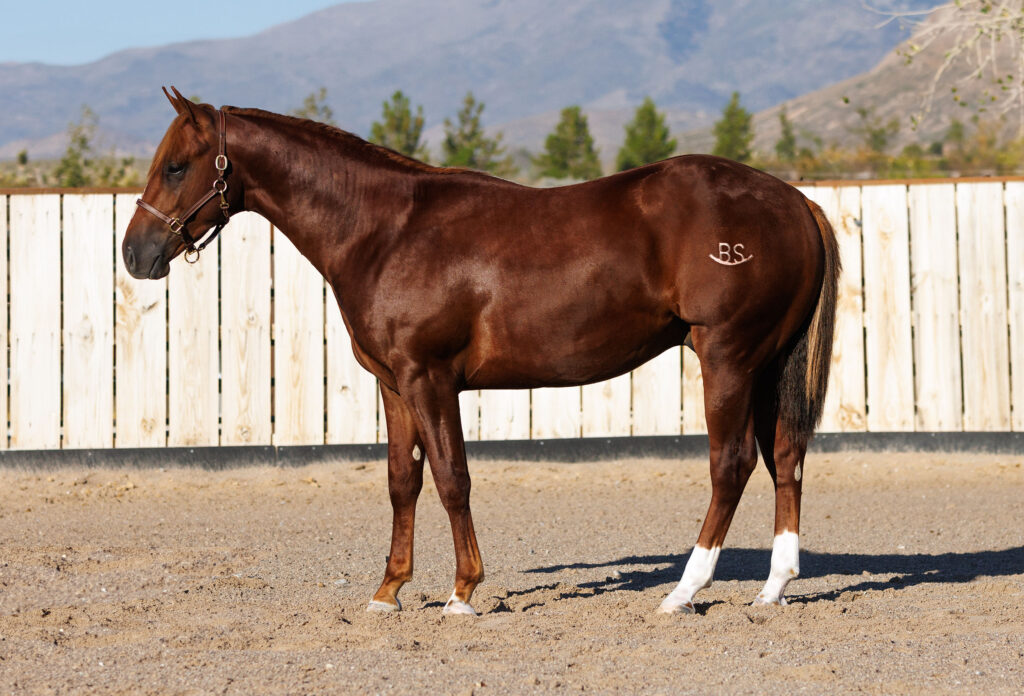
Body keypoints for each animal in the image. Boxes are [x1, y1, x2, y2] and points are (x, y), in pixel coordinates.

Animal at [124, 87, 840, 616]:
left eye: (177, 166)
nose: (135, 254)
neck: (387, 230)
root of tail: (795, 201)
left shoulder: (429, 378)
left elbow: (451, 478)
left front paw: (462, 592)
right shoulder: (394, 385)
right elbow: (402, 481)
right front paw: (388, 591)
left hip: (728, 358)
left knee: (731, 464)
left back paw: (684, 592)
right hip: (767, 364)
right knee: (785, 459)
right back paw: (773, 588)